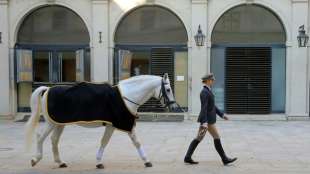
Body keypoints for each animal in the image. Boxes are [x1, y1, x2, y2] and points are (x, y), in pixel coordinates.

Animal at [24, 73, 177, 169]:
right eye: (168, 89)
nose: (174, 107)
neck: (127, 96)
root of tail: (47, 89)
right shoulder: (121, 124)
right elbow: (129, 142)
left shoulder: (112, 125)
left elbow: (108, 142)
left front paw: (146, 161)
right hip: (52, 123)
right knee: (40, 137)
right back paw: (35, 159)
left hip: (59, 123)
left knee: (54, 140)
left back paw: (60, 162)